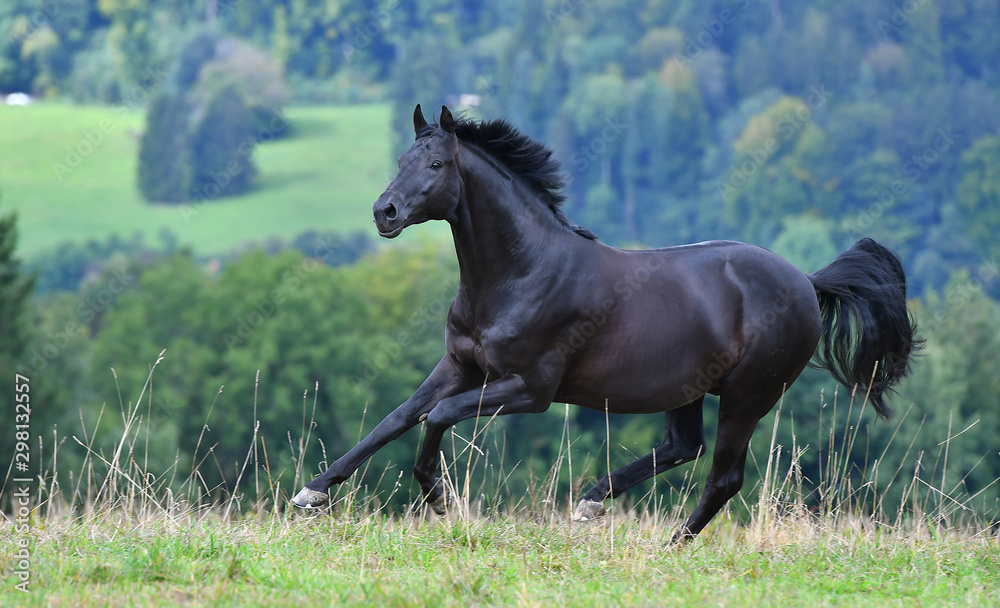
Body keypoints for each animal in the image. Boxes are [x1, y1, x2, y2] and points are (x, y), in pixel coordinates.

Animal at [293, 104, 919, 542]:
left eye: (437, 164)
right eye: (401, 161)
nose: (385, 212)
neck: (520, 274)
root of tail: (807, 284)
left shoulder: (530, 390)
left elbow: (438, 417)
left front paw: (438, 497)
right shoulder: (459, 366)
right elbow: (398, 417)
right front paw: (312, 494)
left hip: (748, 395)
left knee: (722, 477)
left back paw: (667, 546)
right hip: (687, 388)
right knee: (681, 447)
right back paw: (593, 502)